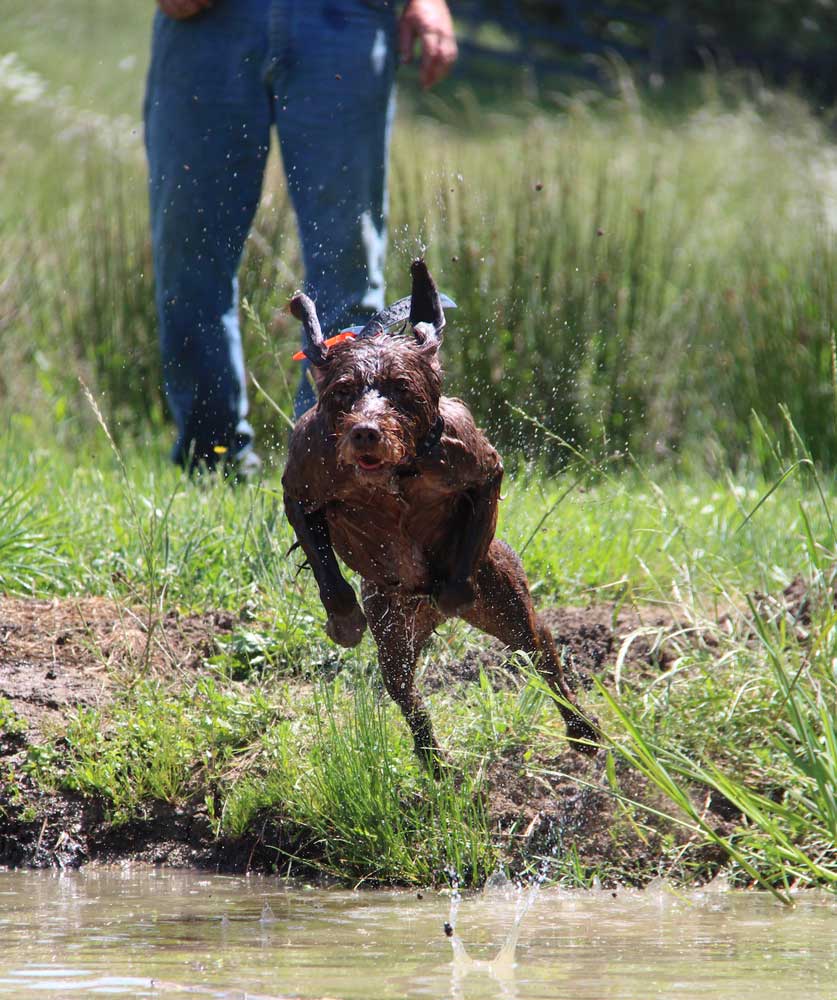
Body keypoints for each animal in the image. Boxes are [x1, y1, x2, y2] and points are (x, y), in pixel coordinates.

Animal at [280, 262, 596, 768]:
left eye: (401, 388)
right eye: (344, 392)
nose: (365, 431)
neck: (396, 473)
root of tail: (424, 614)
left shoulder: (472, 459)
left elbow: (480, 497)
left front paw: (453, 589)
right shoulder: (306, 475)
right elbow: (327, 570)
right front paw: (344, 618)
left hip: (507, 604)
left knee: (543, 655)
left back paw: (582, 729)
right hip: (393, 631)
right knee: (406, 693)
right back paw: (432, 759)